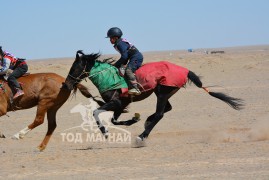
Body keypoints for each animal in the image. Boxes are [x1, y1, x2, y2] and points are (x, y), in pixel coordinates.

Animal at [63, 50, 243, 143]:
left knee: (160, 114)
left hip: (162, 93)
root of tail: (185, 70)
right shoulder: (120, 105)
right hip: (163, 93)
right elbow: (114, 119)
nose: (66, 85)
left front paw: (105, 132)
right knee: (165, 110)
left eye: (75, 67)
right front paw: (134, 119)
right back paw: (146, 123)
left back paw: (142, 136)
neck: (107, 77)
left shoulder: (116, 102)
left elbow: (97, 113)